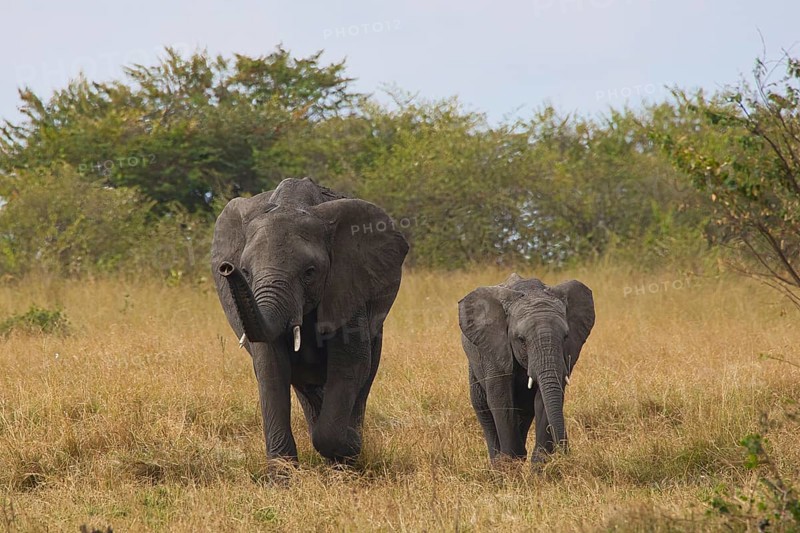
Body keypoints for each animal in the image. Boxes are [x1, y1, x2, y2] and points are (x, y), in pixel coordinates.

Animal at [211, 177, 409, 464]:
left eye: (310, 273)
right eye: (245, 271)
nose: (227, 268)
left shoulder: (347, 285)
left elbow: (350, 366)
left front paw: (350, 445)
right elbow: (270, 368)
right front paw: (283, 475)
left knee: (364, 377)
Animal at [458, 273, 595, 464]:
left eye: (566, 336)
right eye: (521, 339)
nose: (566, 451)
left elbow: (543, 400)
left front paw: (539, 464)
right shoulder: (494, 350)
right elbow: (501, 400)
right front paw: (510, 466)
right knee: (483, 408)